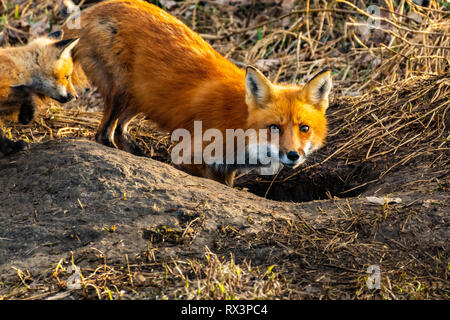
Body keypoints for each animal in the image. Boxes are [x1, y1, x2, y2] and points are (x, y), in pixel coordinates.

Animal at [64, 0, 330, 186]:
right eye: (274, 127)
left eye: (304, 128)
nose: (293, 155)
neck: (239, 124)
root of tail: (94, 9)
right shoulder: (190, 155)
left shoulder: (227, 168)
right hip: (122, 92)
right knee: (103, 134)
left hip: (139, 98)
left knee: (119, 130)